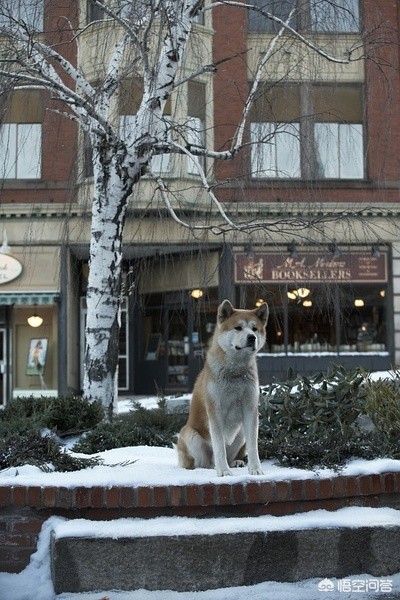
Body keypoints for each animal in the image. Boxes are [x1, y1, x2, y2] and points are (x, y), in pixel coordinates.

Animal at [176, 300, 268, 478]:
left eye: (254, 329)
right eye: (238, 327)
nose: (251, 337)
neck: (235, 373)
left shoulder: (250, 408)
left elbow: (253, 446)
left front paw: (255, 469)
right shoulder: (215, 410)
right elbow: (219, 446)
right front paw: (224, 472)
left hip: (240, 434)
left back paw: (236, 462)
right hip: (190, 435)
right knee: (205, 463)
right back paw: (209, 468)